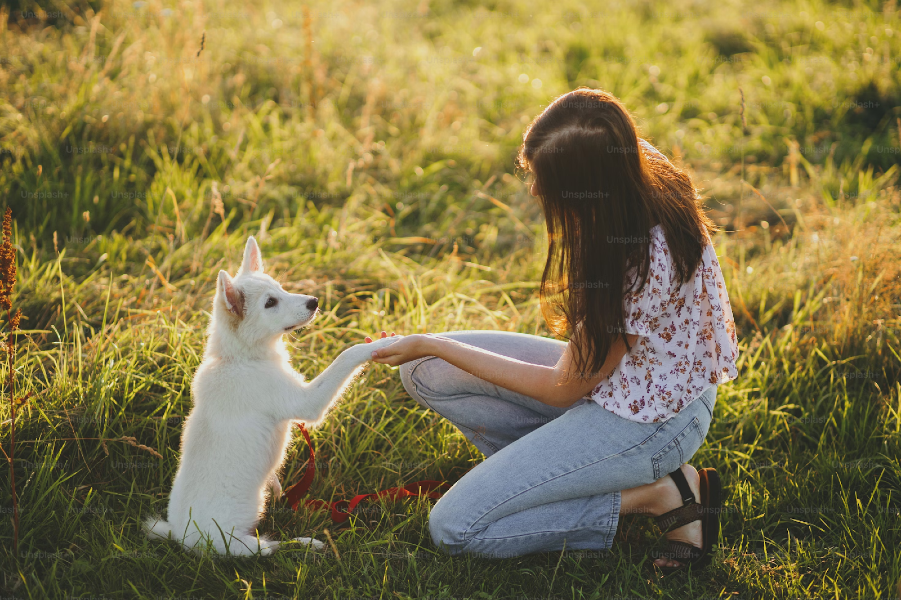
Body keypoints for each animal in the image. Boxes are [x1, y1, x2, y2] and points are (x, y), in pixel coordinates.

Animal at [146, 237, 400, 556]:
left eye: (280, 288)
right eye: (270, 303)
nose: (314, 301)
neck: (239, 358)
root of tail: (179, 536)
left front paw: (275, 484)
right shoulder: (306, 403)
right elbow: (346, 356)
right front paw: (379, 345)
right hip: (239, 542)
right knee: (271, 548)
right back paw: (305, 543)